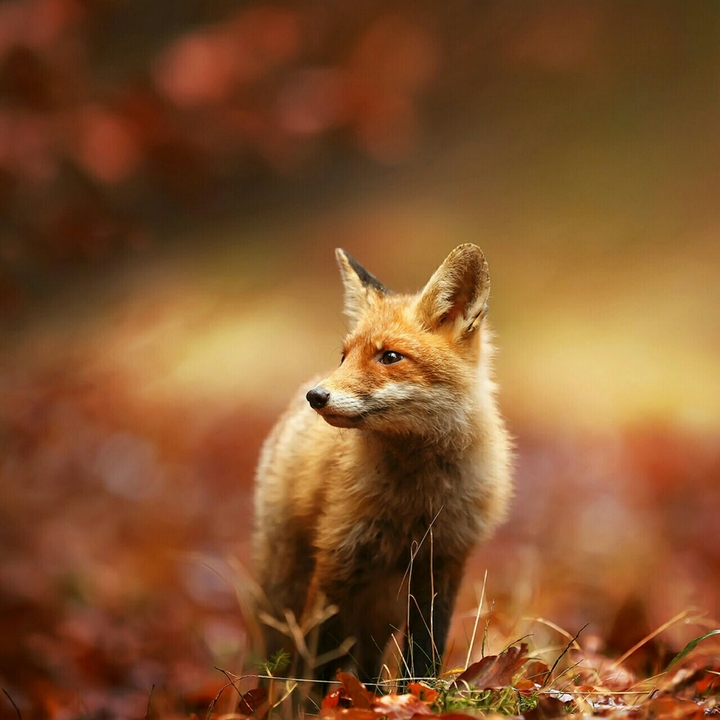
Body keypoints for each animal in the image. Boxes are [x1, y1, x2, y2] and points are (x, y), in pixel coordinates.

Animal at [253, 244, 512, 688]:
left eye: (390, 357)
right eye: (344, 357)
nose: (316, 396)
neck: (415, 499)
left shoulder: (442, 561)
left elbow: (425, 651)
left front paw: (417, 695)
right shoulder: (337, 558)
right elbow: (319, 663)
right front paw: (317, 702)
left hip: (383, 610)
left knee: (369, 662)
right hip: (292, 586)